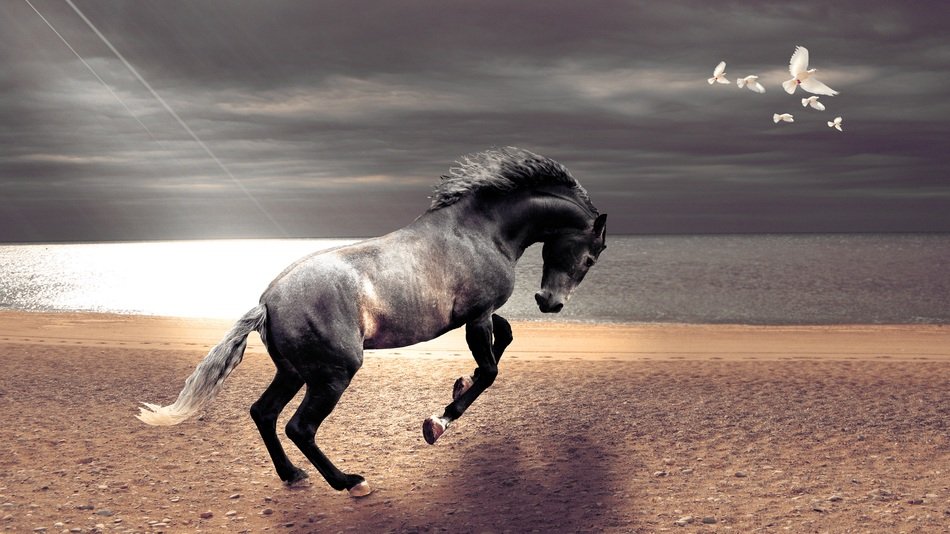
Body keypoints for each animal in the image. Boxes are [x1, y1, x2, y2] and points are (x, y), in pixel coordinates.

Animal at [136, 147, 607, 498]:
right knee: (299, 427)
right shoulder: (477, 317)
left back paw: (293, 476)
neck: (483, 231)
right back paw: (351, 482)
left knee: (263, 413)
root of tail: (266, 303)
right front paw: (437, 423)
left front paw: (459, 383)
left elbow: (504, 339)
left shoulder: (480, 315)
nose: (550, 303)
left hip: (293, 373)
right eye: (591, 256)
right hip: (333, 375)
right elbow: (490, 370)